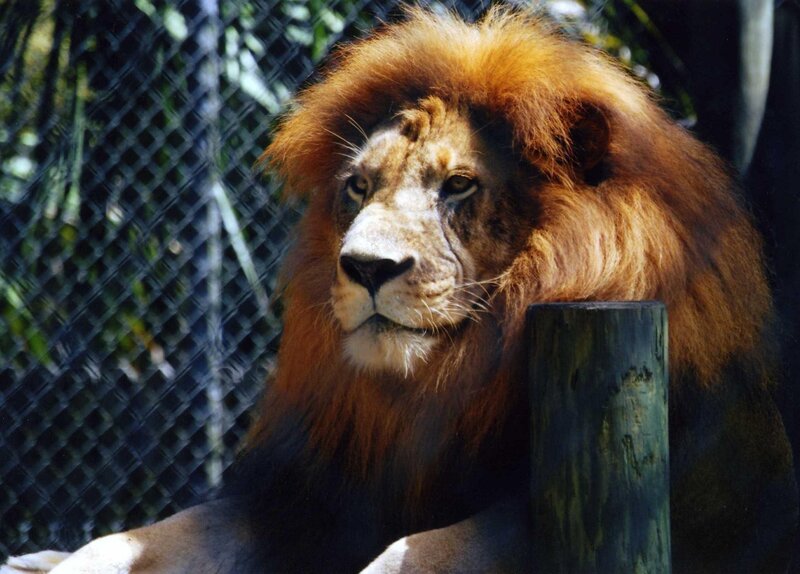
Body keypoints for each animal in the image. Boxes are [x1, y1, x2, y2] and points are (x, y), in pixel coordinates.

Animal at [3, 8, 797, 574]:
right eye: (359, 186)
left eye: (458, 186)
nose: (364, 267)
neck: (427, 390)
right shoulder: (299, 494)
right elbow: (143, 538)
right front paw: (70, 559)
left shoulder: (595, 503)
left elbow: (425, 554)